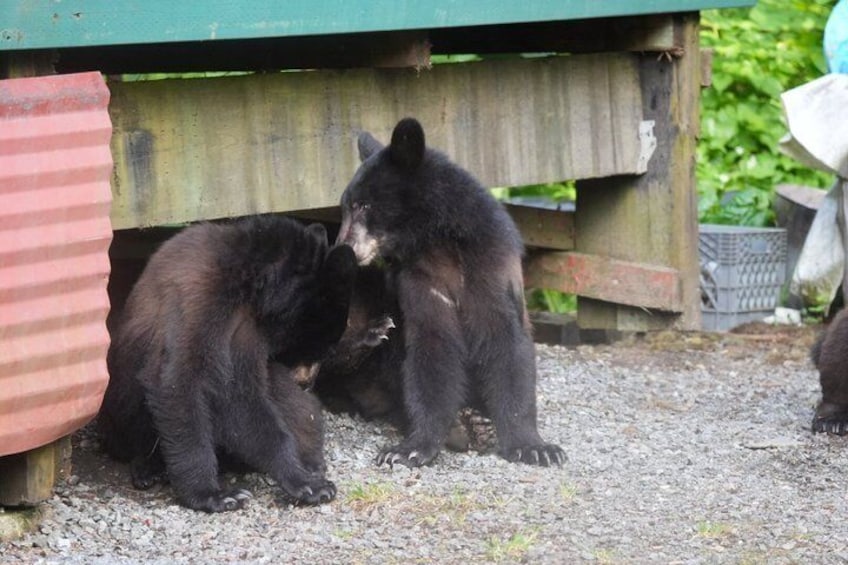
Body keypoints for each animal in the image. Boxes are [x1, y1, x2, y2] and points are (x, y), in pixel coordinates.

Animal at [97, 215, 357, 512]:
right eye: (319, 344)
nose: (307, 382)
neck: (244, 279)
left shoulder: (246, 329)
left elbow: (242, 395)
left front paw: (306, 479)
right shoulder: (199, 300)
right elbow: (177, 384)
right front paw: (213, 494)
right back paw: (147, 467)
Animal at [329, 117, 565, 468]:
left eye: (363, 205)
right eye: (345, 207)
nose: (341, 248)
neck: (440, 241)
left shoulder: (492, 271)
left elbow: (508, 345)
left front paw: (534, 446)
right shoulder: (421, 281)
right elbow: (431, 347)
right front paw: (412, 447)